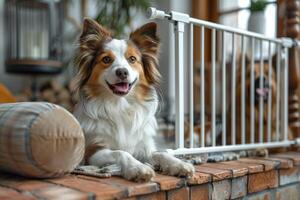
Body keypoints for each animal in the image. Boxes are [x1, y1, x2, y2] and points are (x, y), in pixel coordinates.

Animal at [72, 18, 195, 182]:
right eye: (106, 59)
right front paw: (138, 168)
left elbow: (160, 153)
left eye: (132, 59)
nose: (122, 72)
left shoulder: (144, 147)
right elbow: (121, 152)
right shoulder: (93, 151)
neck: (119, 105)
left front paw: (179, 164)